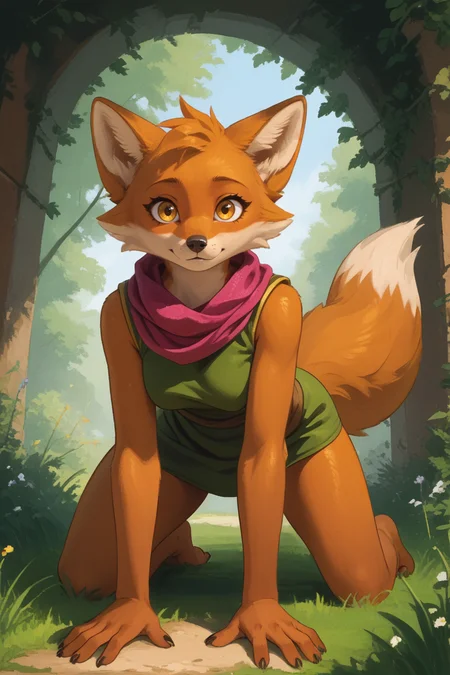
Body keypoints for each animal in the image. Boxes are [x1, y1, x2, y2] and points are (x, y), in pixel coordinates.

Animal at [57, 93, 422, 670]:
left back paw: (400, 549)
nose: (196, 242)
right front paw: (131, 614)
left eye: (228, 207)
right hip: (155, 492)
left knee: (366, 571)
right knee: (91, 566)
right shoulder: (114, 326)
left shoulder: (282, 319)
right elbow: (135, 469)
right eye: (164, 210)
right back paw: (182, 549)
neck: (199, 311)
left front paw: (261, 620)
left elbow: (261, 471)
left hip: (327, 489)